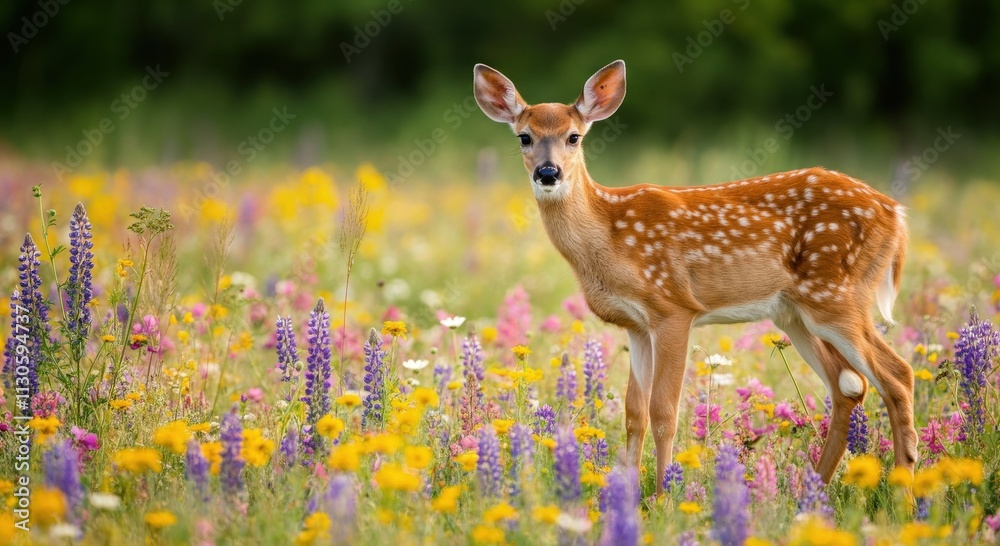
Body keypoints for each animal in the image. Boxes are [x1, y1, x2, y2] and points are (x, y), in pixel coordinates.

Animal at [473, 59, 916, 493]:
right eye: (525, 137)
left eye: (574, 137)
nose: (548, 173)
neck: (609, 234)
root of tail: (896, 213)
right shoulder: (636, 325)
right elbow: (634, 411)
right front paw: (627, 492)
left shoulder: (673, 308)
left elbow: (664, 410)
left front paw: (664, 495)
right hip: (795, 314)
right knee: (848, 387)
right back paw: (811, 492)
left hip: (836, 295)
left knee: (896, 376)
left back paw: (904, 494)